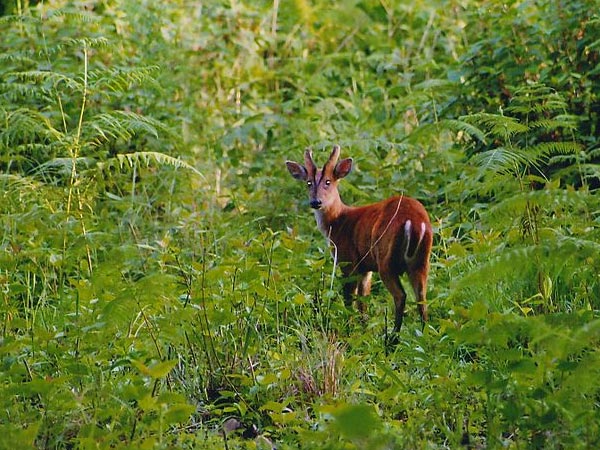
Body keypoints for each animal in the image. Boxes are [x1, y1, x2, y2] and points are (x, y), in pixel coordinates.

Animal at [286, 146, 432, 332]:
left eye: (328, 181)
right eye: (309, 182)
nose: (315, 202)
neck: (338, 222)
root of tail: (415, 222)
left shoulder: (347, 261)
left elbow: (349, 300)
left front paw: (349, 329)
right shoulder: (365, 268)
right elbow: (363, 302)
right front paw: (363, 329)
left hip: (386, 259)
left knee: (401, 295)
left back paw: (393, 336)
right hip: (422, 260)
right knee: (422, 298)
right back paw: (424, 332)